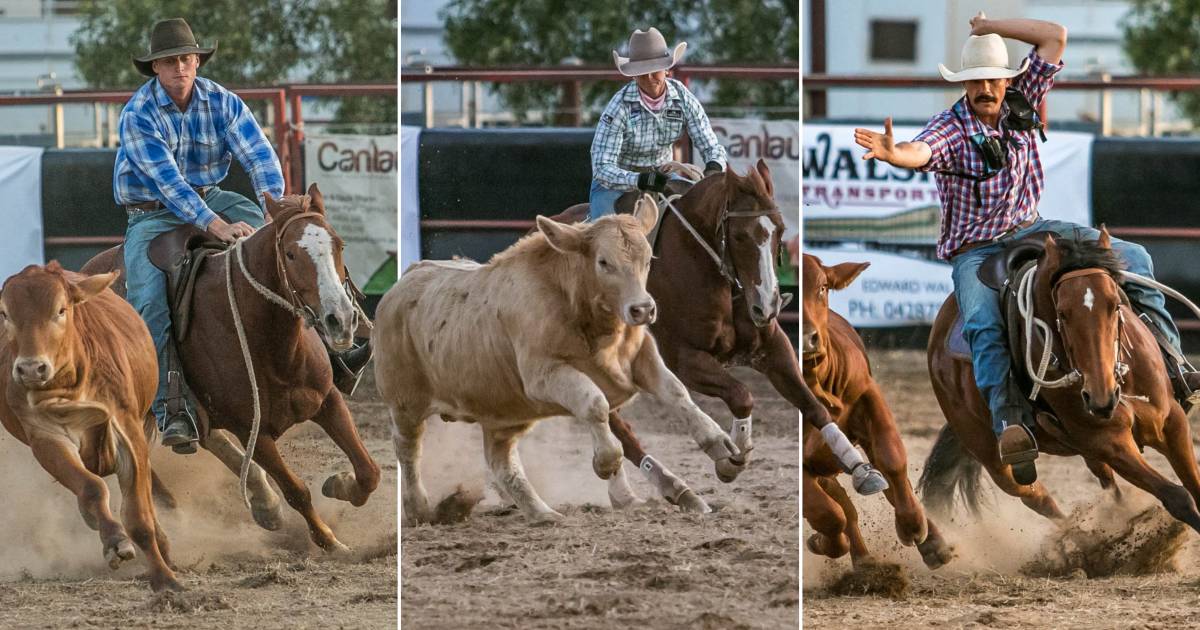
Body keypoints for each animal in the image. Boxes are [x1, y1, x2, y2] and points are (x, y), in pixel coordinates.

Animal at [82, 184, 381, 547]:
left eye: (339, 245)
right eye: (290, 254)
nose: (341, 320)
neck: (271, 343)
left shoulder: (328, 401)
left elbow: (369, 471)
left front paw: (339, 485)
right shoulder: (252, 428)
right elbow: (296, 490)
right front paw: (329, 541)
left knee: (207, 436)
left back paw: (264, 502)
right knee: (135, 454)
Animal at [549, 160, 825, 511]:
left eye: (779, 230)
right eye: (739, 236)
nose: (767, 304)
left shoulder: (774, 349)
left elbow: (813, 406)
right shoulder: (685, 359)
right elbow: (742, 396)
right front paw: (731, 460)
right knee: (616, 425)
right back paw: (662, 488)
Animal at [801, 253, 950, 566]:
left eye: (822, 287)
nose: (808, 338)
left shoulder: (868, 396)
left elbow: (892, 458)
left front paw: (913, 525)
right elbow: (828, 514)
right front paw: (824, 542)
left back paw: (931, 540)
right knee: (842, 508)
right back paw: (861, 559)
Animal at [916, 228, 1200, 532]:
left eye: (1115, 304)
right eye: (1061, 312)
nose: (1101, 398)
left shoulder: (1171, 421)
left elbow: (1193, 484)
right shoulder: (1108, 441)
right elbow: (1178, 497)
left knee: (1106, 483)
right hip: (995, 459)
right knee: (1041, 501)